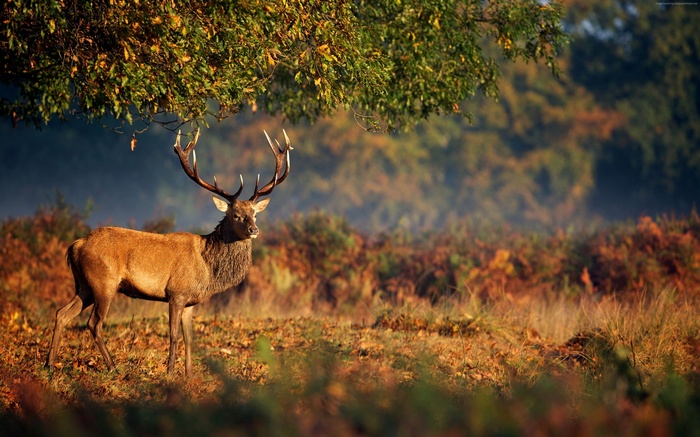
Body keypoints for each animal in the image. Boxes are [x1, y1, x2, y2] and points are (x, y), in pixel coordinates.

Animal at [45, 129, 292, 376]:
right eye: (236, 215)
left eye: (255, 214)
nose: (254, 230)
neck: (207, 268)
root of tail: (75, 246)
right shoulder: (176, 293)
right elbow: (173, 335)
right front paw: (170, 371)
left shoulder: (191, 301)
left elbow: (189, 338)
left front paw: (189, 374)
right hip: (104, 282)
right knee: (94, 323)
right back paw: (113, 367)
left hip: (84, 285)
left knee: (62, 313)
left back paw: (49, 364)